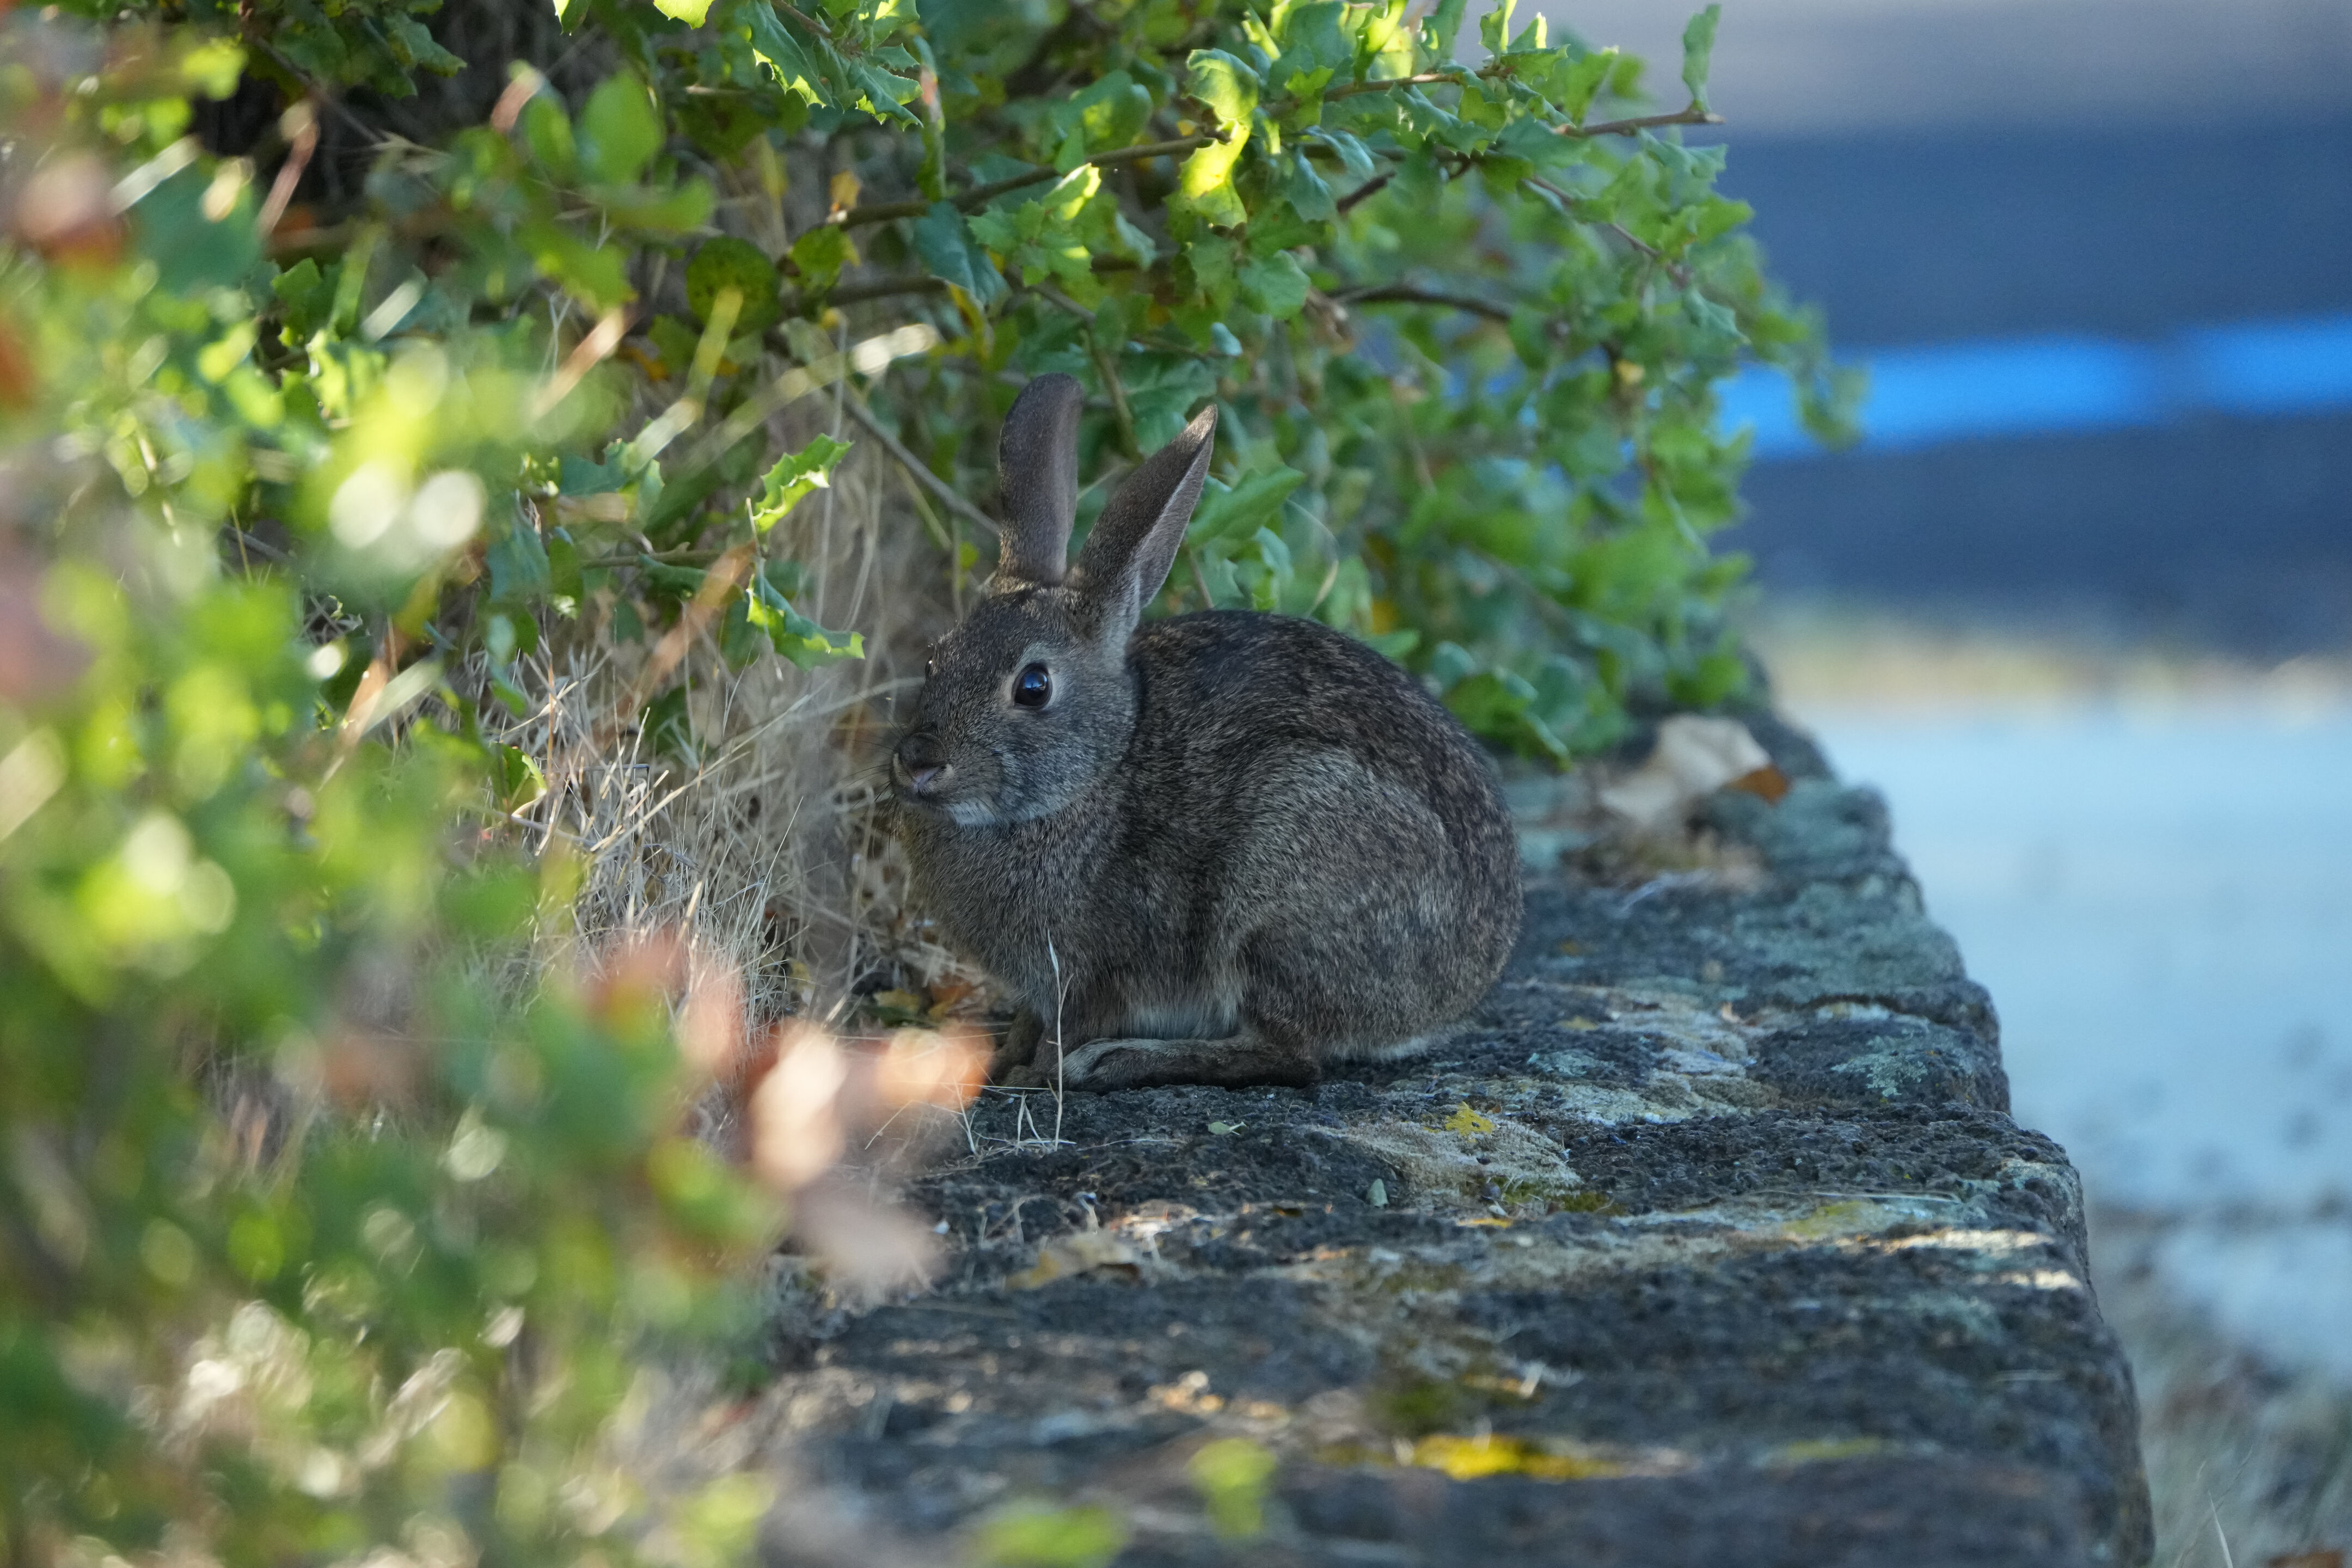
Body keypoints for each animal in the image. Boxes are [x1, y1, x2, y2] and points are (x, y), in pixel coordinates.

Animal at [888, 373, 1521, 1092]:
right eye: (935, 660)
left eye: (1033, 687)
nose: (918, 763)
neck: (1102, 769)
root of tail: (1458, 989)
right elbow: (1030, 1021)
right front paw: (998, 1061)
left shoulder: (1097, 970)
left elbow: (1067, 1029)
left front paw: (1038, 1076)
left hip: (1283, 880)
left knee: (1289, 1055)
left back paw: (1120, 1061)